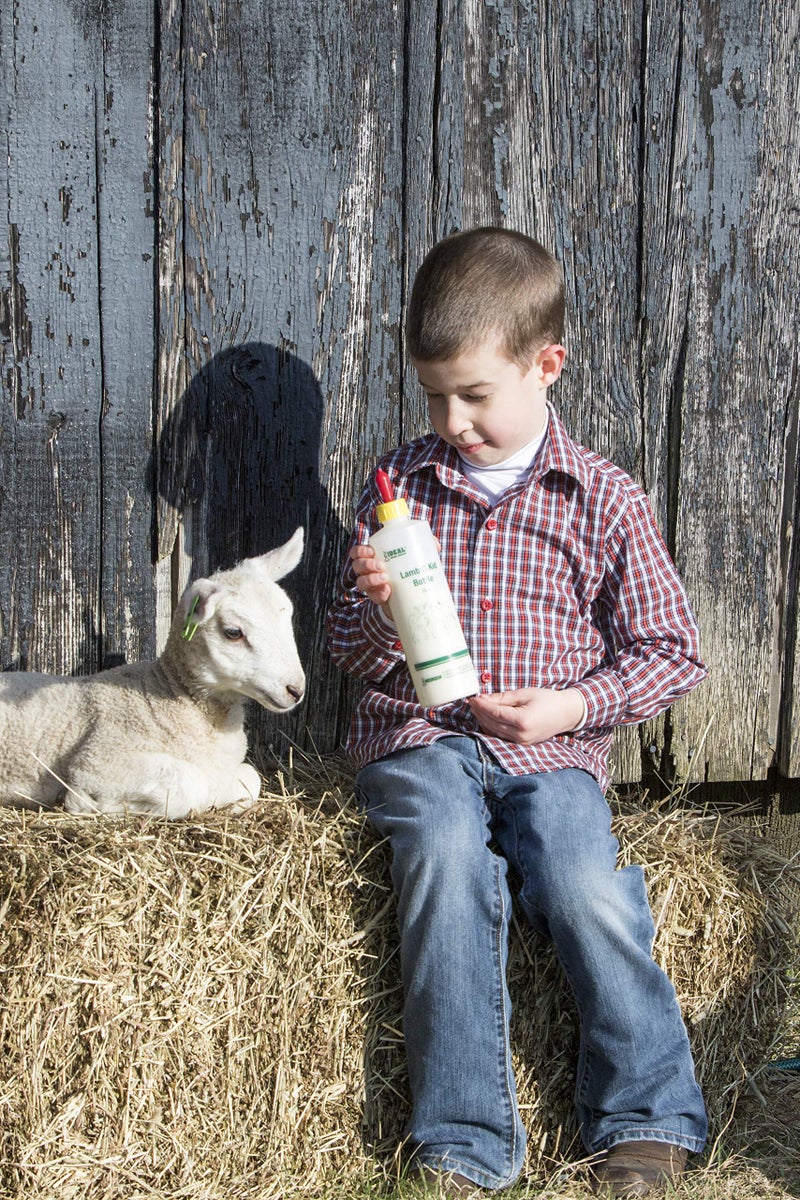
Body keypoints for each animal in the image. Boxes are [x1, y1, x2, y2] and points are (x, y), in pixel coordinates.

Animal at [0, 528, 306, 819]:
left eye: (288, 616)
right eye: (233, 632)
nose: (296, 690)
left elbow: (250, 779)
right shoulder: (97, 761)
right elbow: (189, 783)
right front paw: (87, 803)